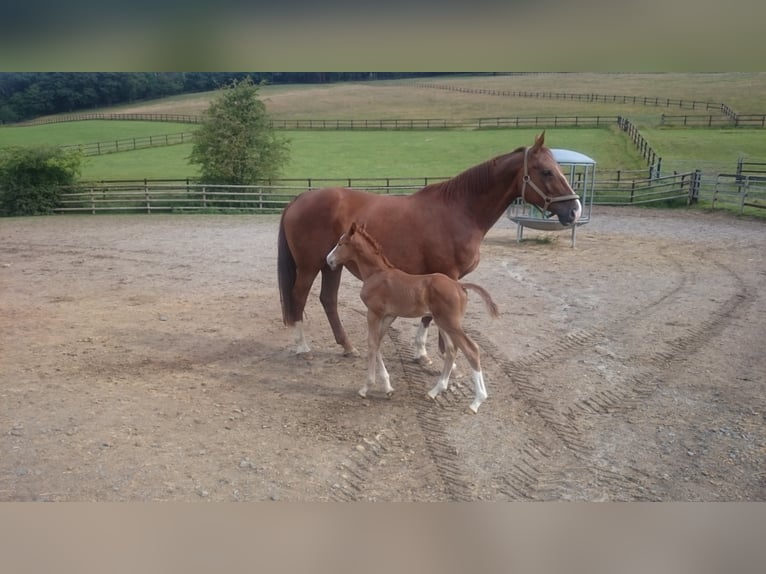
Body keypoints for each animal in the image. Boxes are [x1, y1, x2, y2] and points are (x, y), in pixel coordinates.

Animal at [278, 132, 580, 359]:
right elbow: (435, 318)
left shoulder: (438, 276)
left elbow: (427, 316)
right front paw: (443, 359)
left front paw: (422, 352)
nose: (574, 210)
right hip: (310, 266)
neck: (460, 210)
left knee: (328, 300)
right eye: (546, 172)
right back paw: (302, 346)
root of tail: (299, 199)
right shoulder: (447, 273)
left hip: (332, 264)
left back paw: (348, 347)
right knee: (298, 296)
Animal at [326, 222, 500, 413]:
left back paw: (476, 402)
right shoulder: (389, 315)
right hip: (442, 322)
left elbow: (372, 343)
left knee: (471, 350)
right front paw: (388, 388)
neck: (376, 274)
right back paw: (434, 391)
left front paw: (366, 387)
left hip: (450, 323)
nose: (329, 260)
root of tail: (459, 286)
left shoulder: (373, 313)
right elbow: (378, 343)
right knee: (452, 350)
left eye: (340, 243)